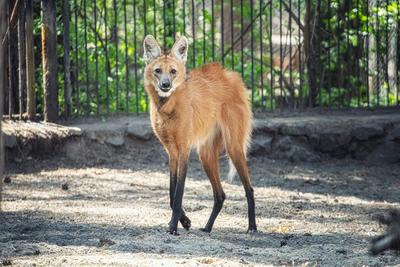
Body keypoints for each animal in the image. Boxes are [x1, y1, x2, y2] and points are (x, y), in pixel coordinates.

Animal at [144, 34, 256, 236]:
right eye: (158, 71)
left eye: (173, 71)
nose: (165, 85)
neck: (167, 107)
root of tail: (232, 75)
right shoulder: (172, 151)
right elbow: (171, 192)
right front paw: (185, 221)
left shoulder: (184, 149)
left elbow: (178, 193)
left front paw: (174, 227)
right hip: (205, 155)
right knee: (220, 194)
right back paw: (208, 227)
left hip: (233, 147)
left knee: (249, 189)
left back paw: (252, 226)